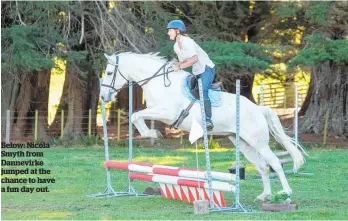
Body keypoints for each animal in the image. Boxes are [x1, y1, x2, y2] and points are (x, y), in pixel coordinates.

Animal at [100, 52, 304, 202]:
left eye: (109, 73)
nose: (103, 97)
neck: (158, 82)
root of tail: (258, 109)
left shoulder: (167, 113)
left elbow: (136, 115)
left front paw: (153, 133)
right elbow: (136, 115)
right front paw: (151, 133)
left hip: (258, 142)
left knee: (275, 163)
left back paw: (285, 193)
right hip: (244, 143)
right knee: (262, 166)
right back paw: (265, 196)